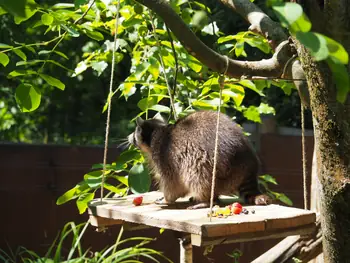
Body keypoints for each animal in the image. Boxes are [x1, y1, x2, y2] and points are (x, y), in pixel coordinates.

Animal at [129, 110, 270, 209]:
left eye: (135, 132)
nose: (128, 137)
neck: (156, 131)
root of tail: (248, 163)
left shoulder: (165, 155)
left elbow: (172, 184)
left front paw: (167, 198)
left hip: (214, 164)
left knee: (198, 175)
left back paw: (206, 200)